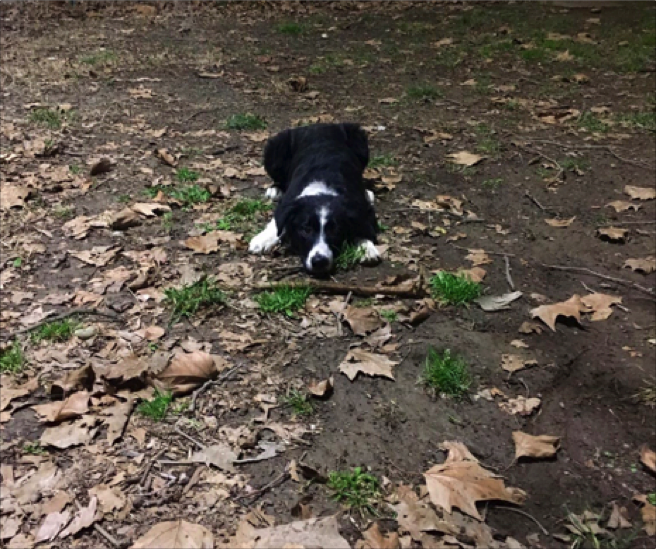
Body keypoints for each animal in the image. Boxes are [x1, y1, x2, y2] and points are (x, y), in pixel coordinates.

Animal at [247, 122, 380, 276]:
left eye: (335, 230)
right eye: (306, 229)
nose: (319, 261)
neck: (323, 187)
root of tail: (318, 124)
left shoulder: (361, 208)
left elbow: (362, 225)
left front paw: (366, 247)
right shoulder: (288, 201)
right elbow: (277, 222)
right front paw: (262, 239)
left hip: (360, 140)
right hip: (275, 147)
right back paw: (275, 189)